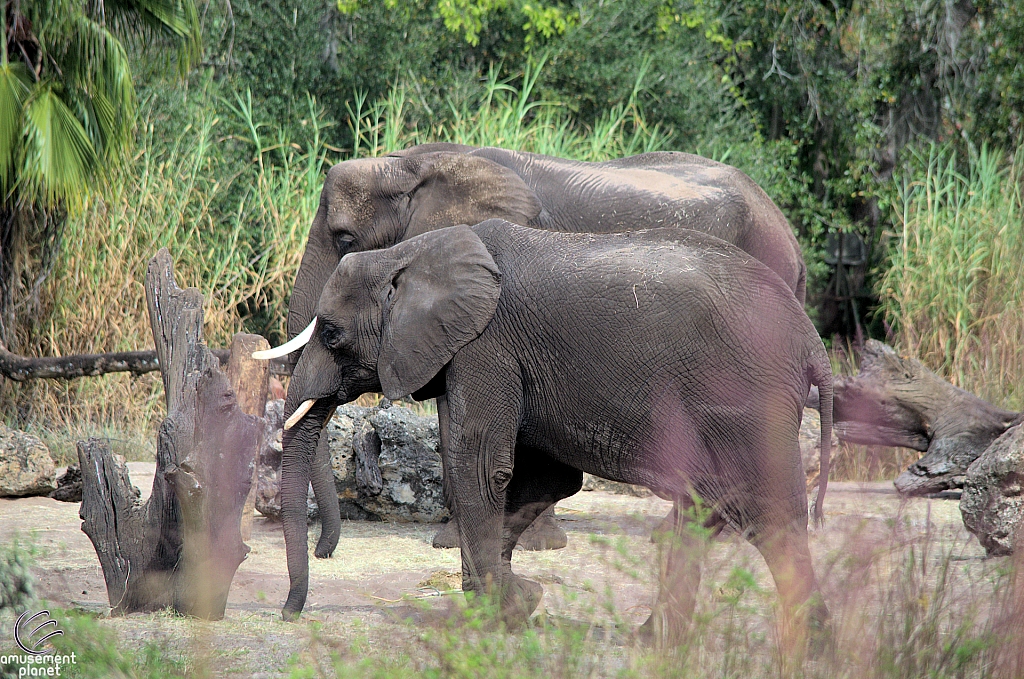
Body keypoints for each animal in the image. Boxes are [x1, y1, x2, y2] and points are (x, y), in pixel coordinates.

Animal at [274, 220, 831, 655]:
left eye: (332, 335)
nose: (288, 614)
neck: (409, 253)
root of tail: (813, 342)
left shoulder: (485, 347)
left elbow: (477, 468)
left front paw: (497, 615)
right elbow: (545, 479)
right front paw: (519, 602)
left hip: (743, 400)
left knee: (767, 515)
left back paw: (811, 645)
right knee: (705, 509)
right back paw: (656, 641)